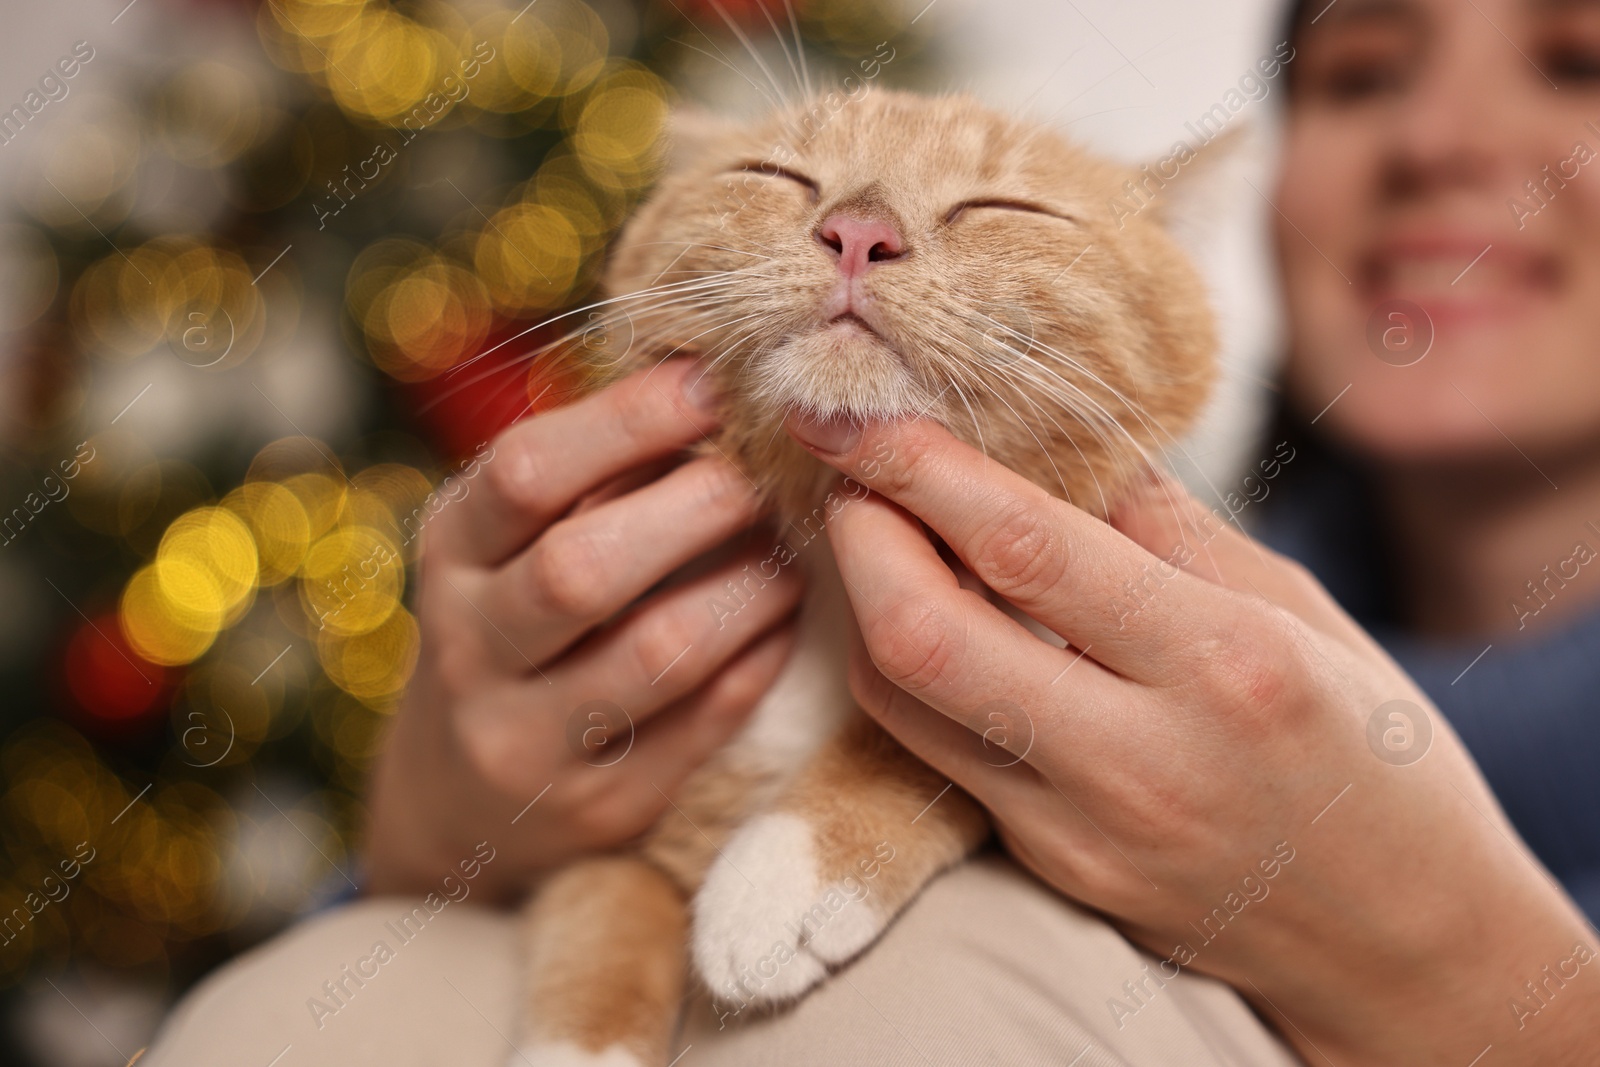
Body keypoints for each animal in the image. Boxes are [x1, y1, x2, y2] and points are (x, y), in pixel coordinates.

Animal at [518, 87, 1216, 1062]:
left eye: (1001, 207)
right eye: (777, 174)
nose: (858, 233)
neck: (831, 573)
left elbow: (923, 746)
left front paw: (786, 871)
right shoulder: (608, 830)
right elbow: (599, 922)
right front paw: (578, 1037)